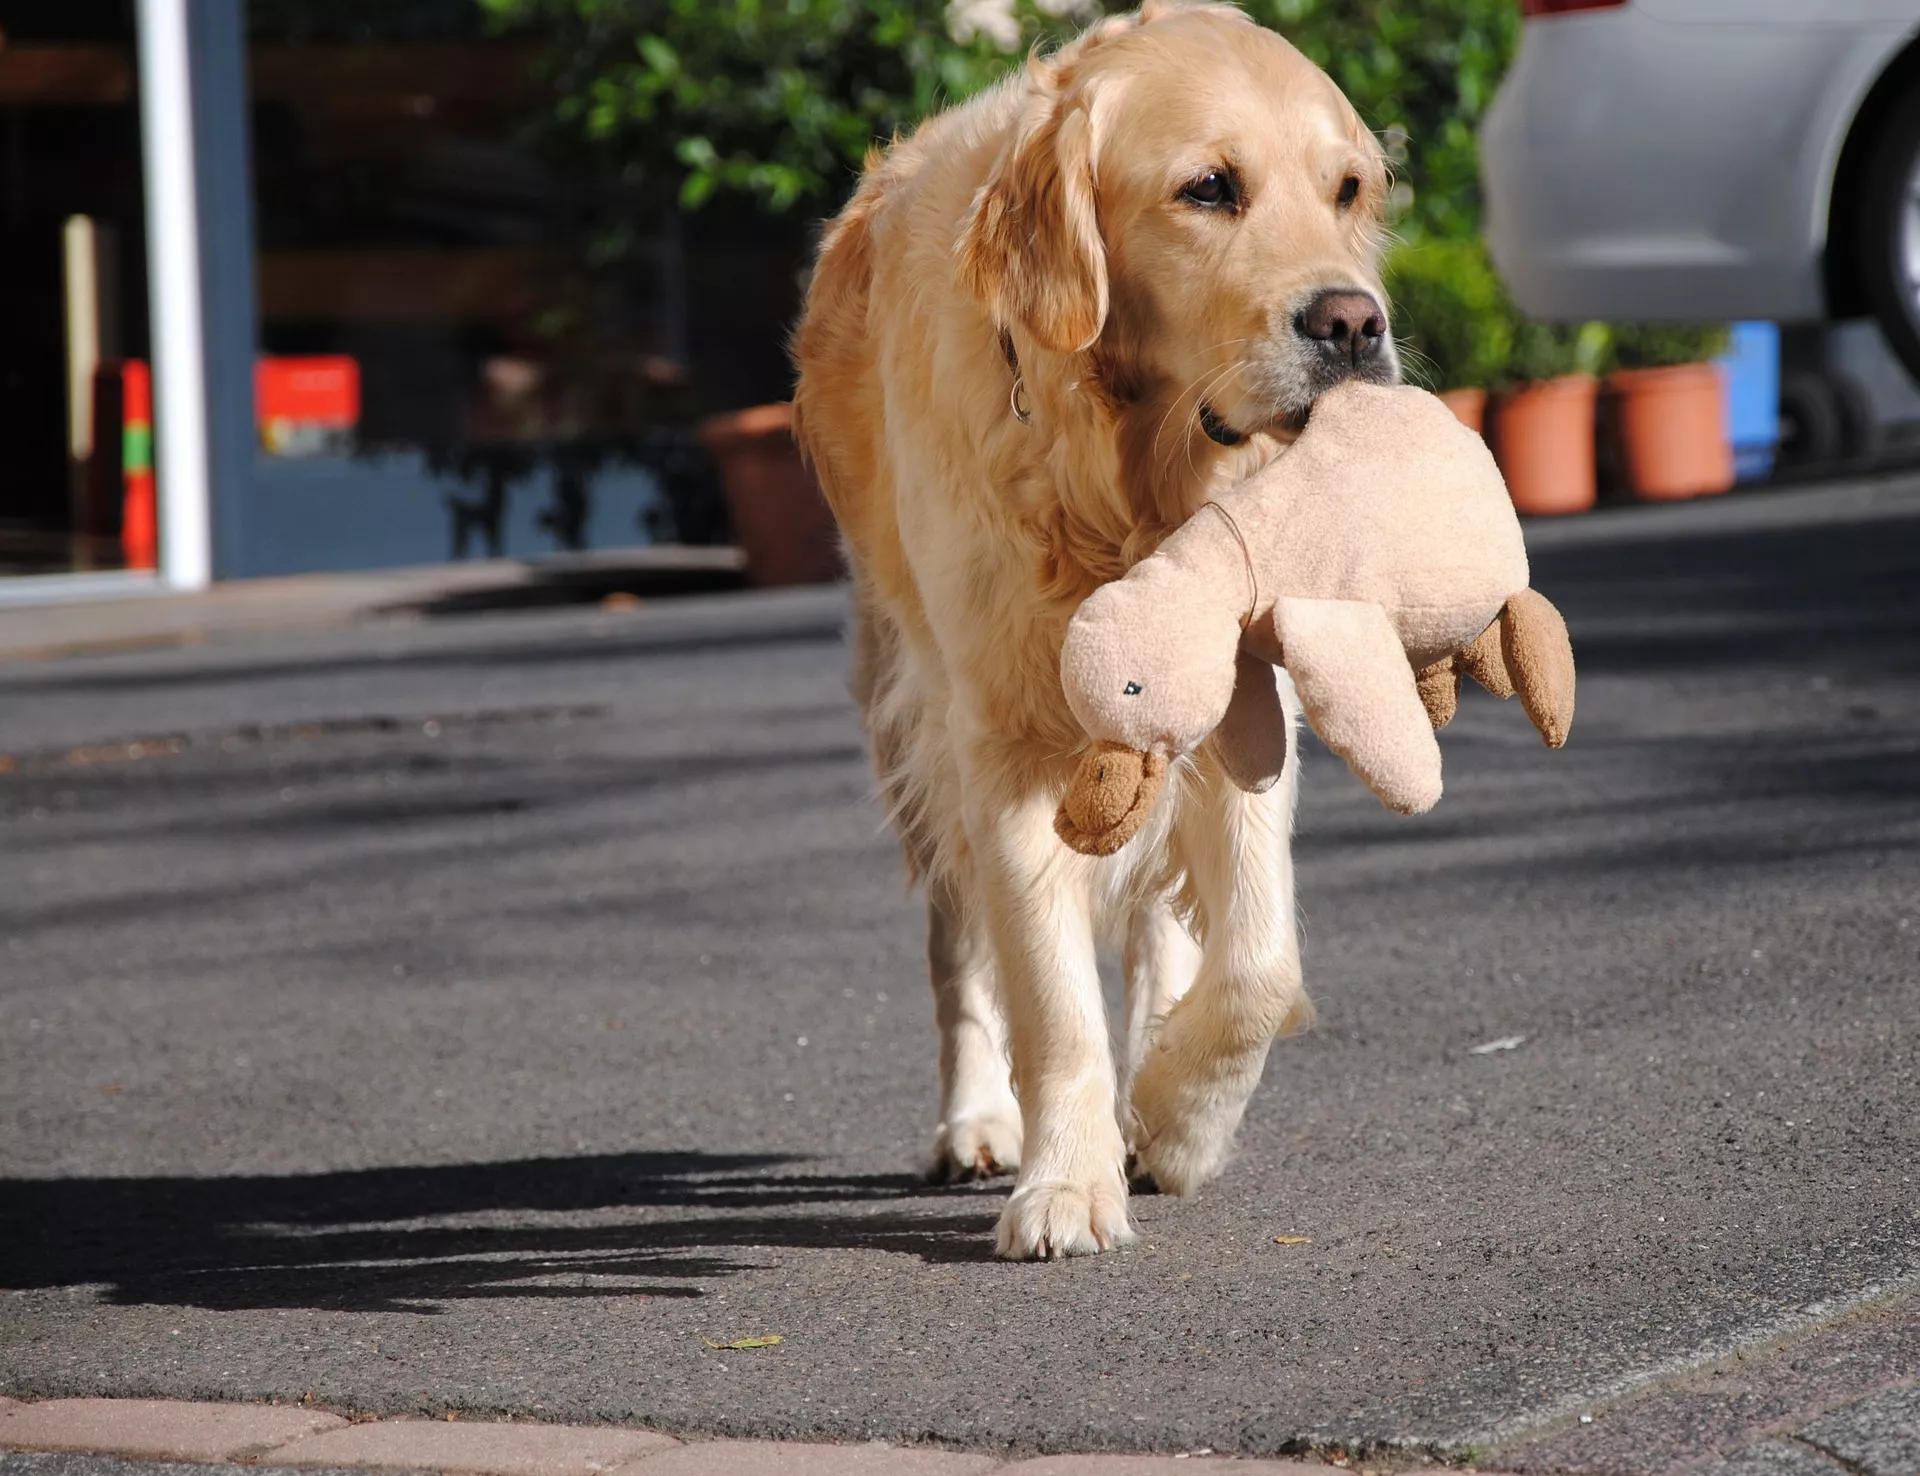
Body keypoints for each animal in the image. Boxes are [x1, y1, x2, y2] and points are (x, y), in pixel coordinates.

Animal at [791, 5, 1397, 1259]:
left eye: (1349, 188)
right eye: (1209, 188)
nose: (1356, 323)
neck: (1129, 476)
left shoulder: (1244, 711)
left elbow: (1259, 962)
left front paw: (1177, 1120)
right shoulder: (1006, 744)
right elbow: (1051, 1002)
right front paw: (1065, 1185)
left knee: (1166, 926)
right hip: (911, 713)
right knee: (960, 951)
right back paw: (979, 1123)